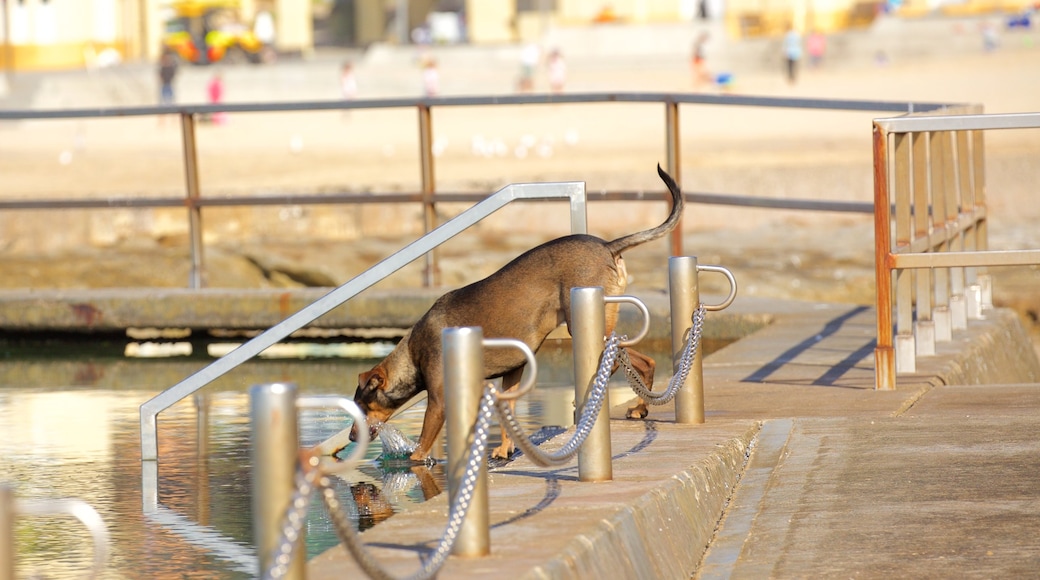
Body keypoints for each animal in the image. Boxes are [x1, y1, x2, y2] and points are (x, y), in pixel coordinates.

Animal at [353, 165, 686, 463]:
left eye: (361, 406)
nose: (352, 437)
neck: (412, 352)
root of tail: (607, 245)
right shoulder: (512, 372)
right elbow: (507, 417)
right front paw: (504, 449)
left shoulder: (439, 402)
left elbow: (422, 446)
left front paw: (414, 462)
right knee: (645, 362)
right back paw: (639, 408)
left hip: (585, 324)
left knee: (621, 362)